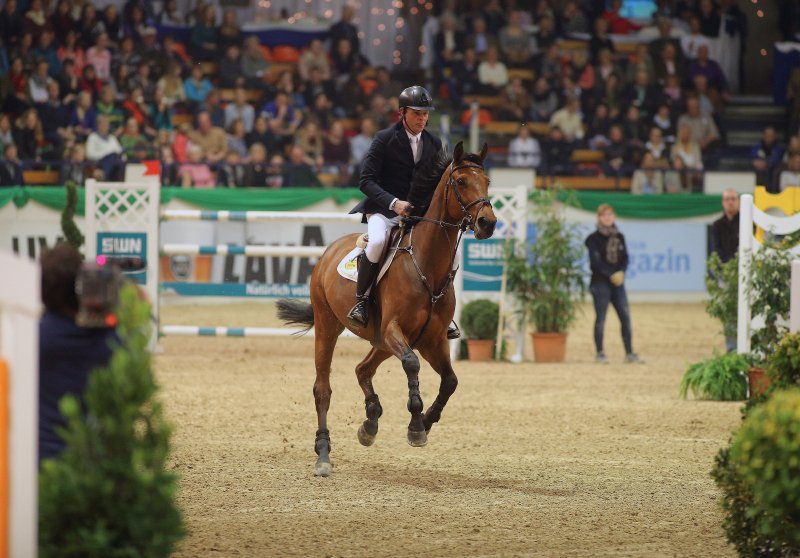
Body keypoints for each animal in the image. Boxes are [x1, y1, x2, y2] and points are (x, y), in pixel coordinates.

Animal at [278, 141, 496, 476]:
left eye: (487, 182)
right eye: (460, 182)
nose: (488, 223)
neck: (426, 265)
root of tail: (328, 251)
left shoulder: (432, 340)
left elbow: (450, 381)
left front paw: (426, 421)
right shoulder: (396, 331)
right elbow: (411, 365)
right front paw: (417, 425)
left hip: (379, 341)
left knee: (362, 369)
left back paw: (370, 423)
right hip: (329, 326)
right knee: (322, 389)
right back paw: (324, 454)